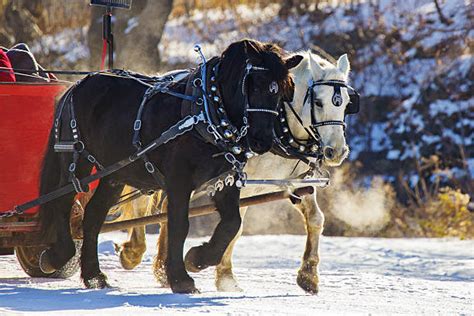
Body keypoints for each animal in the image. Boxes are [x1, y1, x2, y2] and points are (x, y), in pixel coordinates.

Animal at [39, 39, 302, 294]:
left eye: (281, 93)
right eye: (254, 85)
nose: (262, 140)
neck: (204, 112)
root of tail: (78, 85)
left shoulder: (224, 181)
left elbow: (232, 223)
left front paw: (198, 258)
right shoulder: (178, 181)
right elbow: (179, 225)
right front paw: (180, 279)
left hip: (115, 174)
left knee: (93, 216)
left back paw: (93, 275)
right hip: (77, 159)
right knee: (62, 202)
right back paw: (57, 256)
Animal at [115, 50, 352, 294]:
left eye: (346, 104)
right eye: (318, 102)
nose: (337, 151)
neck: (279, 123)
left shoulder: (294, 183)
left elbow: (315, 218)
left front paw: (308, 275)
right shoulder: (238, 183)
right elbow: (236, 228)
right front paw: (224, 275)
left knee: (165, 212)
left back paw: (163, 269)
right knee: (142, 205)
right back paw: (133, 253)